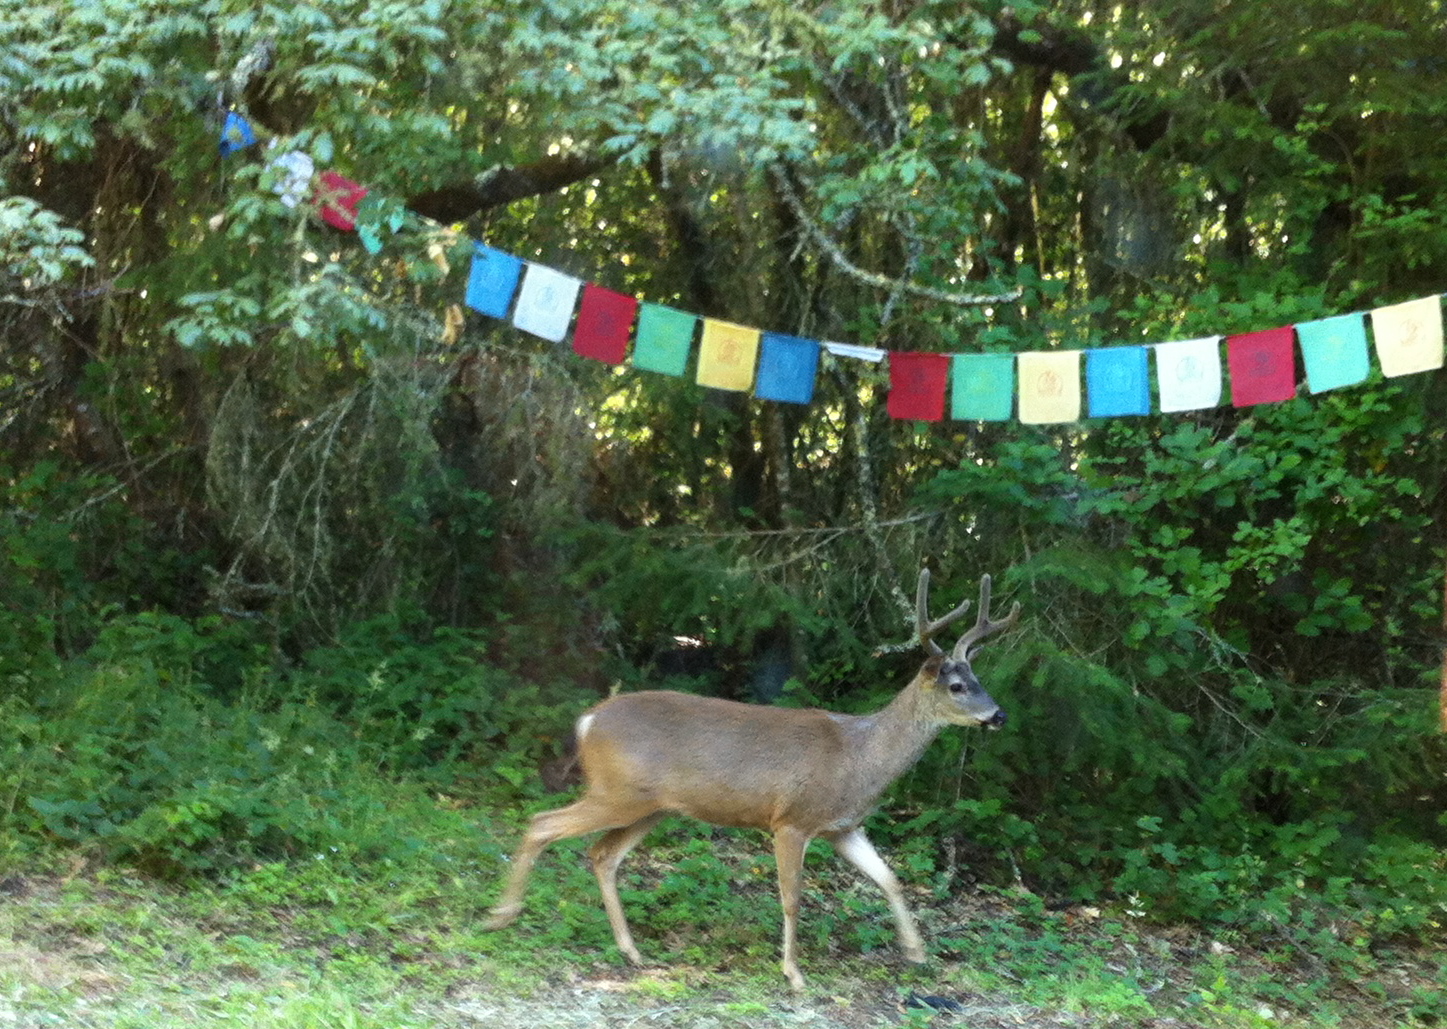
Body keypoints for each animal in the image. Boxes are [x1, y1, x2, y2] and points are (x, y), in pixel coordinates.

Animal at [483, 569, 1021, 991]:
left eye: (981, 680)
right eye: (958, 686)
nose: (998, 716)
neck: (859, 757)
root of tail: (588, 720)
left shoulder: (842, 826)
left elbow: (889, 879)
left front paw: (916, 952)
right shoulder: (791, 820)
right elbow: (792, 897)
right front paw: (793, 973)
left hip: (651, 806)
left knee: (601, 854)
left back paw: (630, 950)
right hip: (618, 791)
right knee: (543, 823)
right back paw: (501, 916)